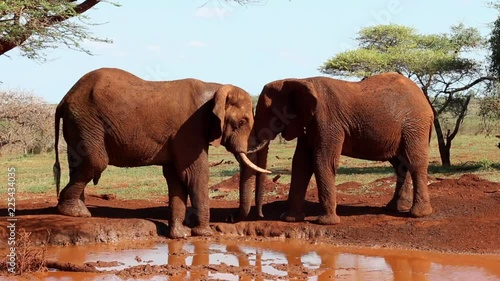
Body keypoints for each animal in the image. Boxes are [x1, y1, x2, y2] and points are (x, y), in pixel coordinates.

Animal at [53, 66, 270, 237]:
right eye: (243, 122)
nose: (229, 218)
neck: (215, 88)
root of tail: (64, 98)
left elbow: (176, 177)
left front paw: (180, 235)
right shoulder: (189, 129)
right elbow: (194, 174)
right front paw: (204, 234)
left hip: (79, 125)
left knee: (77, 163)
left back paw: (78, 208)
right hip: (87, 122)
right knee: (96, 161)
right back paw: (75, 212)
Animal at [238, 72, 434, 223]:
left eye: (269, 112)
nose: (260, 215)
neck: (300, 80)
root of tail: (425, 101)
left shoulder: (328, 121)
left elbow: (322, 161)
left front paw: (326, 222)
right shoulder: (308, 123)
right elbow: (301, 163)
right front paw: (290, 218)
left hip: (415, 125)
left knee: (414, 161)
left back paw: (418, 214)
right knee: (401, 163)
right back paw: (394, 208)